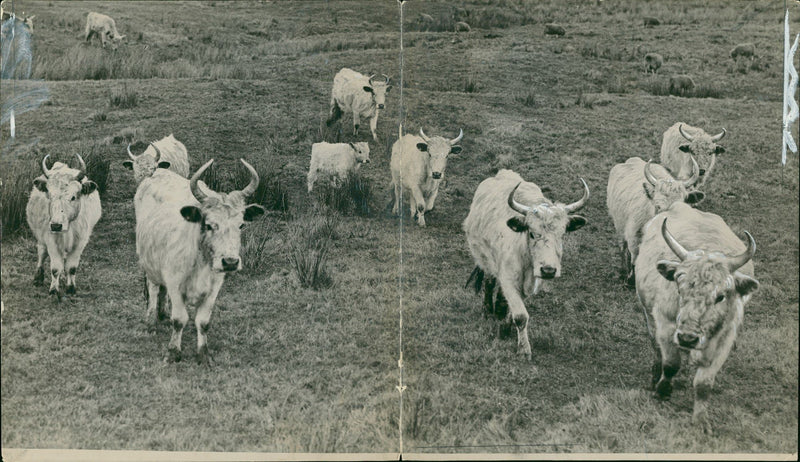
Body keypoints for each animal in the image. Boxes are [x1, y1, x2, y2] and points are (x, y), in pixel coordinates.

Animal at [25, 154, 101, 296]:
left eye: (73, 197)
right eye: (50, 195)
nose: (56, 226)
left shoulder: (80, 242)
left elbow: (71, 268)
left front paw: (71, 288)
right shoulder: (51, 240)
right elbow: (55, 268)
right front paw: (54, 290)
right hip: (41, 237)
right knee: (42, 253)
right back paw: (38, 277)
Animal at [135, 159, 266, 364]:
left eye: (241, 225)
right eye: (209, 225)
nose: (230, 262)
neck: (201, 262)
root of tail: (157, 174)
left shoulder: (214, 287)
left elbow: (203, 322)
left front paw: (204, 353)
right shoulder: (174, 283)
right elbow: (179, 319)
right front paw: (173, 352)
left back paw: (162, 313)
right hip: (149, 264)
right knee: (154, 289)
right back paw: (151, 321)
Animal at [462, 171, 588, 360]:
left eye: (562, 234)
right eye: (533, 233)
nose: (548, 270)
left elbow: (514, 307)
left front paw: (505, 327)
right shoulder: (508, 278)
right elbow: (521, 315)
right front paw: (523, 349)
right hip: (485, 259)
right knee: (489, 282)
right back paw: (488, 311)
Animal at [636, 206, 756, 434]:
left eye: (720, 296)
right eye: (679, 288)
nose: (687, 339)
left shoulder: (725, 338)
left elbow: (704, 383)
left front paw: (701, 420)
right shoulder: (665, 325)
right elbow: (671, 363)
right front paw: (662, 390)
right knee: (655, 345)